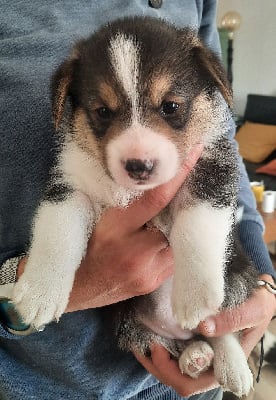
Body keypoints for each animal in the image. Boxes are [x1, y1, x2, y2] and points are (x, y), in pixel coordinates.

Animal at [12, 16, 258, 396]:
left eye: (171, 106)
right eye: (102, 112)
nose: (139, 166)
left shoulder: (211, 171)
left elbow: (196, 228)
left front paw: (195, 295)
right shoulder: (69, 187)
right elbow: (57, 236)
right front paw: (39, 293)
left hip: (239, 273)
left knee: (218, 327)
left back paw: (231, 365)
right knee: (176, 341)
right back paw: (195, 356)